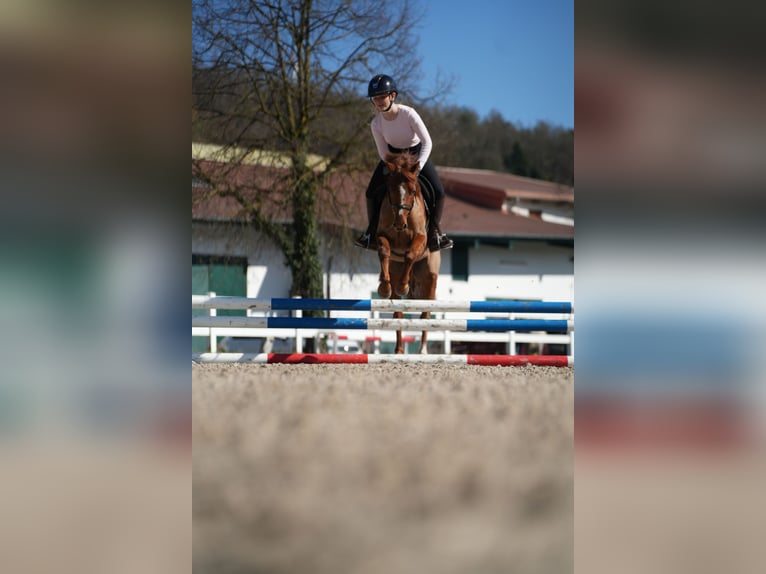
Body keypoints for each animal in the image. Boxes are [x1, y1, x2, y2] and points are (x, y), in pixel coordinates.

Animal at [375, 154, 441, 354]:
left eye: (412, 191)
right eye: (390, 189)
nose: (399, 224)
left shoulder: (420, 238)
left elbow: (410, 255)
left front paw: (403, 287)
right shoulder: (381, 235)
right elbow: (384, 251)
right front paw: (384, 288)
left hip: (430, 278)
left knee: (426, 314)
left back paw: (423, 351)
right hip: (397, 271)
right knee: (398, 314)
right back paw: (398, 351)